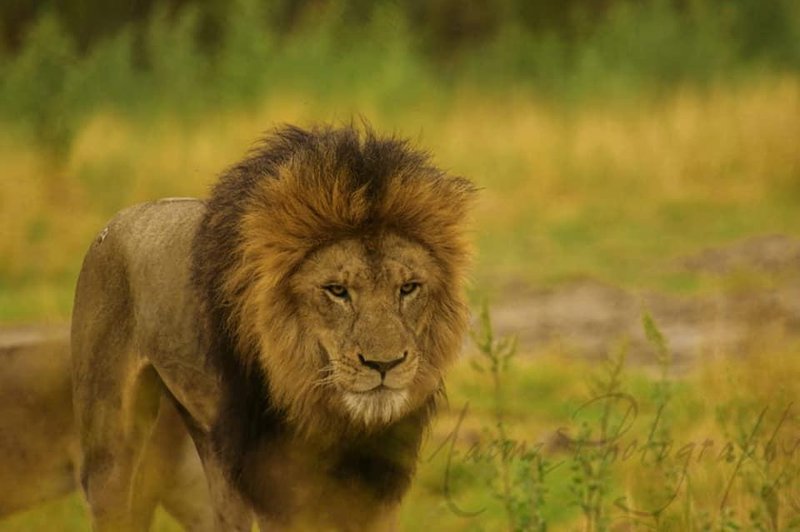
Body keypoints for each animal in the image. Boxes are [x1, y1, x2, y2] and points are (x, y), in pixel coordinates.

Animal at [70, 123, 476, 528]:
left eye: (408, 288)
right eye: (337, 291)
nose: (384, 364)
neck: (329, 413)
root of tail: (119, 219)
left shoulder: (376, 483)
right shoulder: (272, 485)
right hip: (112, 445)